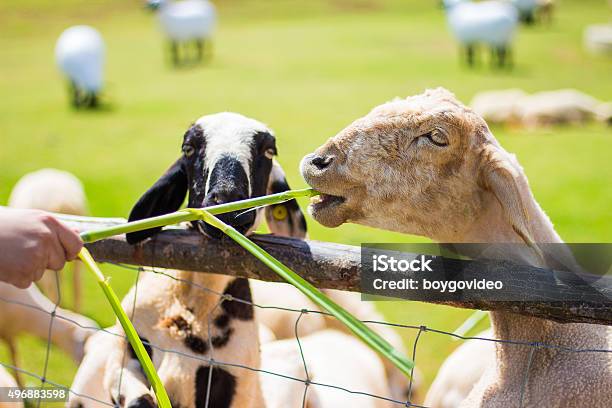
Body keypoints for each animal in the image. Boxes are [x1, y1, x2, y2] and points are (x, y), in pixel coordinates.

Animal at [71, 112, 308, 408]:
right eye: (188, 148)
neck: (190, 306)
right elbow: (138, 398)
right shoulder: (123, 354)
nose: (227, 204)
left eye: (269, 151)